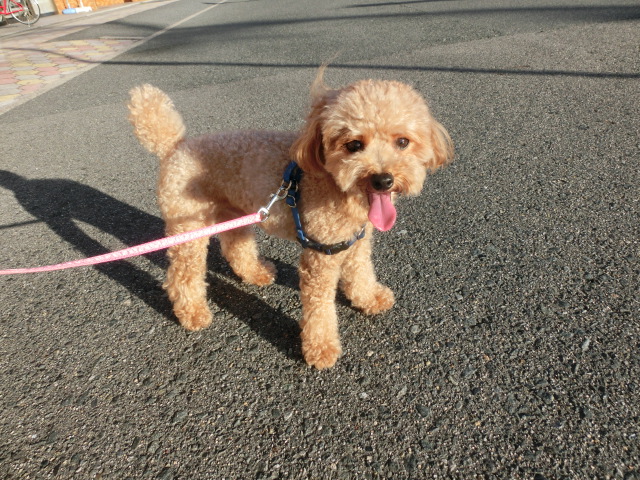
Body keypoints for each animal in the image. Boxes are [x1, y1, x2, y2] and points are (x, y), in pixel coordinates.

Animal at [128, 70, 453, 369]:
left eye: (403, 142)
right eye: (354, 145)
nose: (383, 180)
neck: (337, 188)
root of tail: (175, 146)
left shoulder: (356, 242)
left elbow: (361, 273)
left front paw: (369, 299)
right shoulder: (320, 254)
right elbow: (320, 307)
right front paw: (321, 348)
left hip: (233, 212)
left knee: (235, 246)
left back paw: (255, 274)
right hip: (189, 226)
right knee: (182, 274)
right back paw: (193, 313)